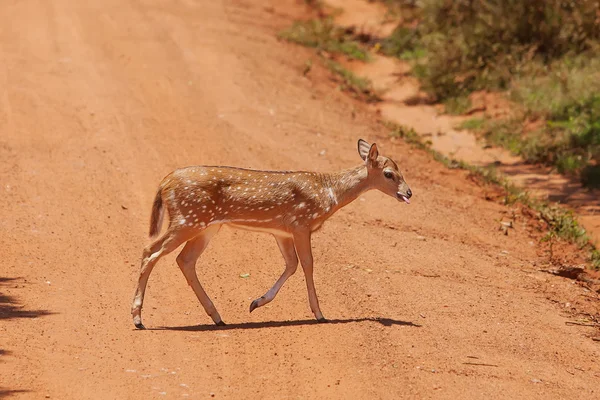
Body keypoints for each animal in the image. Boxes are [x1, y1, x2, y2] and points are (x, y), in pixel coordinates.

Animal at [132, 140, 412, 328]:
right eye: (389, 174)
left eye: (401, 170)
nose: (408, 192)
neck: (329, 193)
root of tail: (165, 182)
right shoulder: (301, 223)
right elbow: (308, 264)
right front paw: (319, 313)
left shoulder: (283, 232)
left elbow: (291, 264)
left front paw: (256, 303)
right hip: (187, 218)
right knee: (151, 251)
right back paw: (137, 318)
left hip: (205, 225)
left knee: (184, 260)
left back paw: (218, 317)